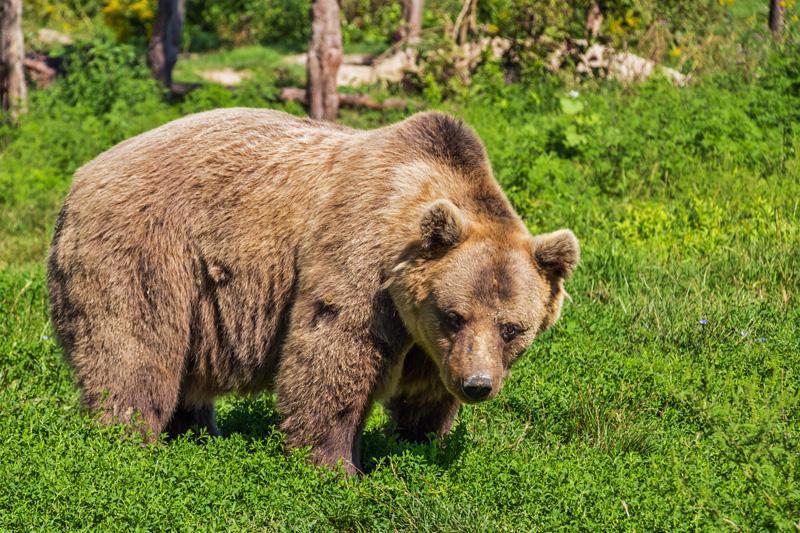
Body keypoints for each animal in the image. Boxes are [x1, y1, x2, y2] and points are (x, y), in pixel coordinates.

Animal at [47, 108, 579, 473]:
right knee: (134, 351)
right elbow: (332, 356)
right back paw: (129, 441)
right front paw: (337, 465)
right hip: (147, 253)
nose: (477, 385)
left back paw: (198, 434)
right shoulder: (361, 263)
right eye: (455, 314)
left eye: (512, 328)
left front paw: (420, 440)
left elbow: (425, 392)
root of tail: (80, 177)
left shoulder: (429, 340)